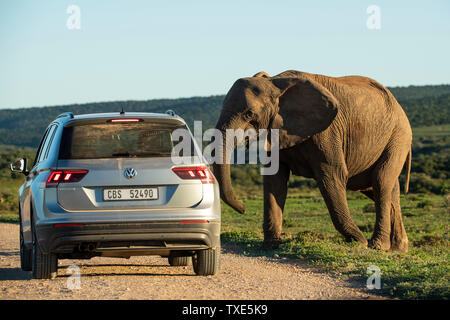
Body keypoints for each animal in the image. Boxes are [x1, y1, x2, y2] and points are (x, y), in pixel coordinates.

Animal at [213, 70, 414, 252]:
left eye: (249, 114)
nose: (244, 209)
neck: (275, 83)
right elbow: (274, 180)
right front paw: (271, 246)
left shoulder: (327, 132)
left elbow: (331, 175)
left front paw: (359, 241)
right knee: (381, 187)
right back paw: (399, 248)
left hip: (398, 136)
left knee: (380, 181)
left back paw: (378, 246)